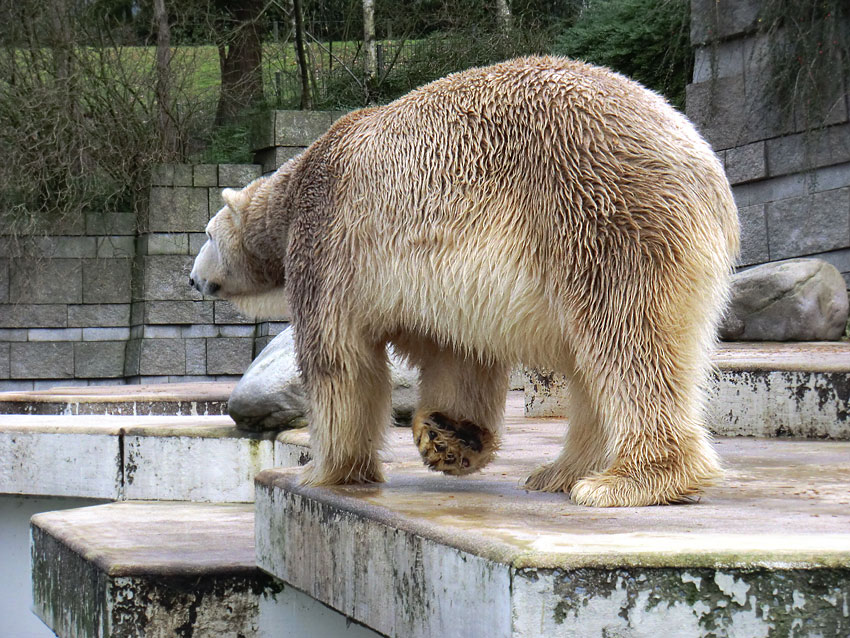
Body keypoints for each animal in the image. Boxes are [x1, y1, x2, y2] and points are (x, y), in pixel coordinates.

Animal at [190, 56, 736, 510]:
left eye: (207, 235)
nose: (193, 279)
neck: (294, 185)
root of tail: (704, 164)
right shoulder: (443, 286)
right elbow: (458, 357)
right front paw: (451, 438)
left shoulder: (327, 241)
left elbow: (338, 360)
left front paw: (324, 471)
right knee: (595, 362)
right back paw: (559, 472)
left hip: (599, 213)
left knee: (627, 338)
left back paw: (625, 481)